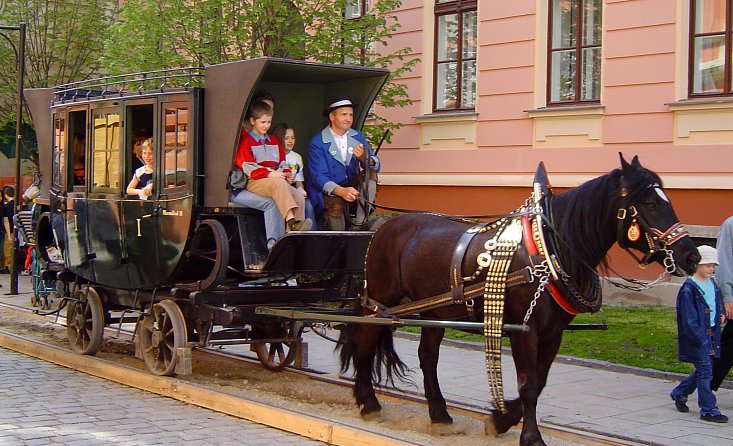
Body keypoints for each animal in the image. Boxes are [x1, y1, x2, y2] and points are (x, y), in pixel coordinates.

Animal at [338, 155, 696, 444]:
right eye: (649, 203)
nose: (691, 256)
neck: (549, 248)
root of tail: (382, 226)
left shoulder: (553, 333)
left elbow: (540, 381)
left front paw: (501, 419)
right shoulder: (525, 331)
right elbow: (528, 384)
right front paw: (530, 436)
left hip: (434, 310)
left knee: (427, 357)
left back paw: (439, 414)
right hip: (380, 302)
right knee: (365, 344)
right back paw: (369, 402)